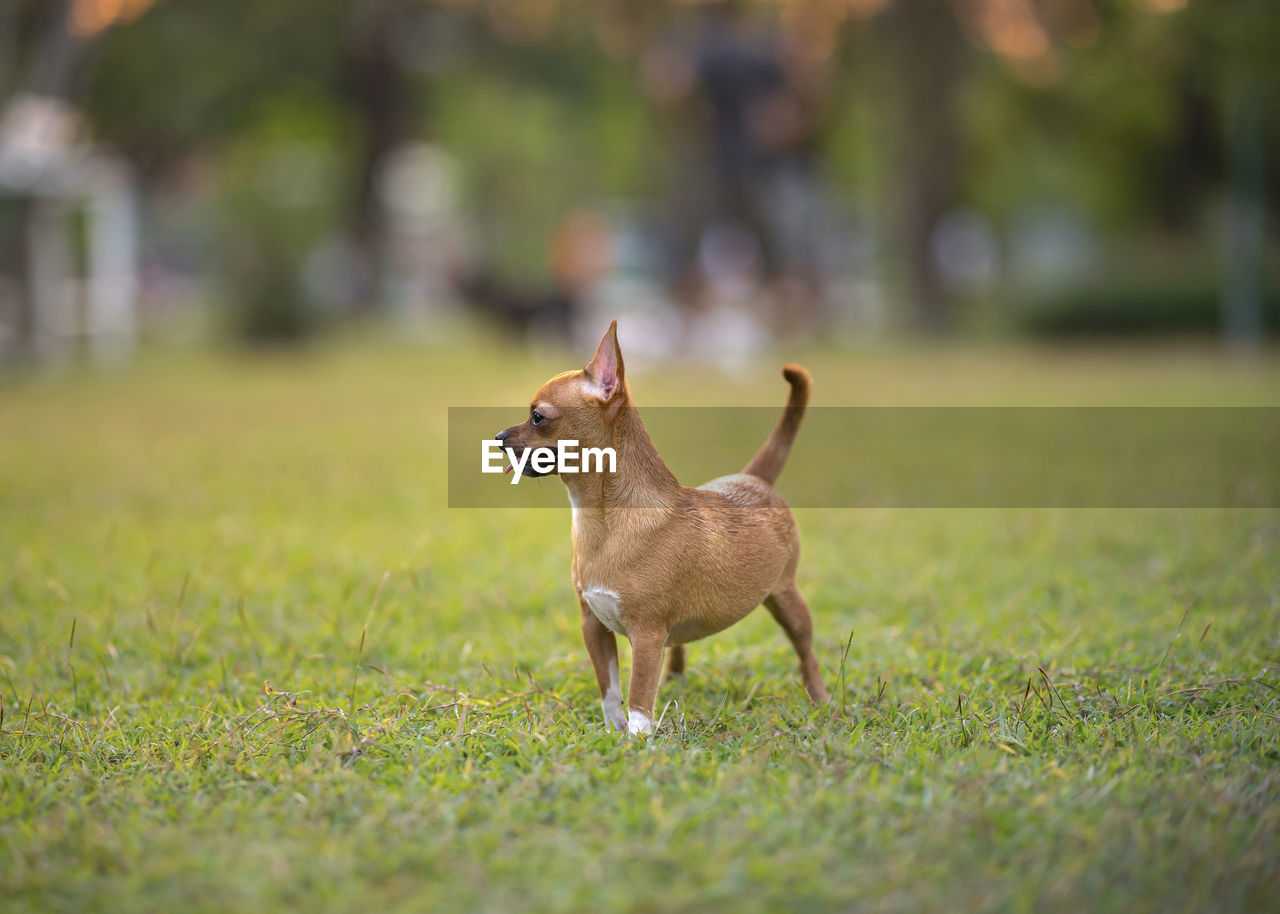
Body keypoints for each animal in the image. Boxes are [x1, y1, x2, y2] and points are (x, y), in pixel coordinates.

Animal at [494, 320, 824, 732]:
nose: (499, 438)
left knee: (807, 654)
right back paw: (676, 683)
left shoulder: (646, 637)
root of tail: (754, 478)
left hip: (788, 601)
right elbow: (609, 689)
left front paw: (636, 738)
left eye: (537, 417)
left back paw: (821, 700)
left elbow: (638, 696)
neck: (602, 521)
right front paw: (613, 733)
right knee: (679, 647)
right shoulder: (594, 627)